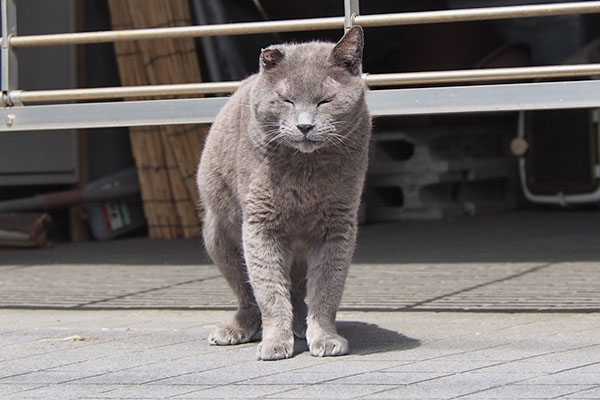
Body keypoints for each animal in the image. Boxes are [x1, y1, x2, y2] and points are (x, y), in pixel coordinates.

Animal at [197, 26, 370, 360]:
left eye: (325, 101)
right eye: (286, 100)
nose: (305, 126)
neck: (305, 172)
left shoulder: (338, 225)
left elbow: (328, 287)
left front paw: (325, 337)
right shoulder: (260, 223)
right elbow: (268, 288)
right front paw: (276, 341)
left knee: (299, 291)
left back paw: (301, 325)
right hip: (218, 235)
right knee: (247, 294)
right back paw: (235, 329)